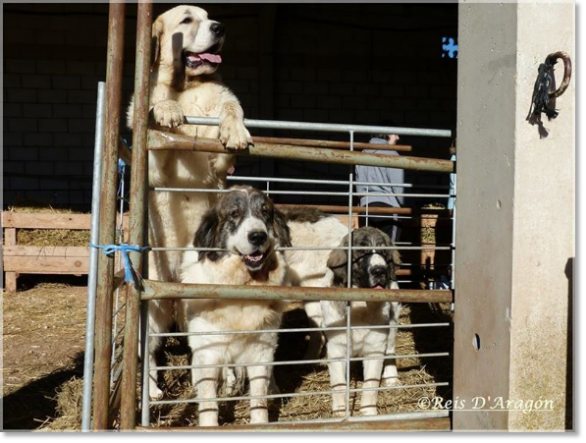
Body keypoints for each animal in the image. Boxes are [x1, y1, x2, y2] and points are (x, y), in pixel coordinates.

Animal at [126, 4, 252, 398]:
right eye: (186, 19)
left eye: (209, 16)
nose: (220, 27)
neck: (188, 88)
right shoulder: (151, 163)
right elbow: (156, 111)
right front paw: (165, 109)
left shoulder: (219, 157)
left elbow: (231, 110)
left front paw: (235, 130)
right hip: (152, 299)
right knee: (148, 349)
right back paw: (151, 391)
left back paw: (230, 380)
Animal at [177, 187, 288, 426]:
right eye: (234, 214)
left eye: (265, 212)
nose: (258, 236)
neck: (240, 285)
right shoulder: (208, 351)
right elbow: (208, 400)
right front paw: (209, 425)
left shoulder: (261, 348)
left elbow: (259, 397)